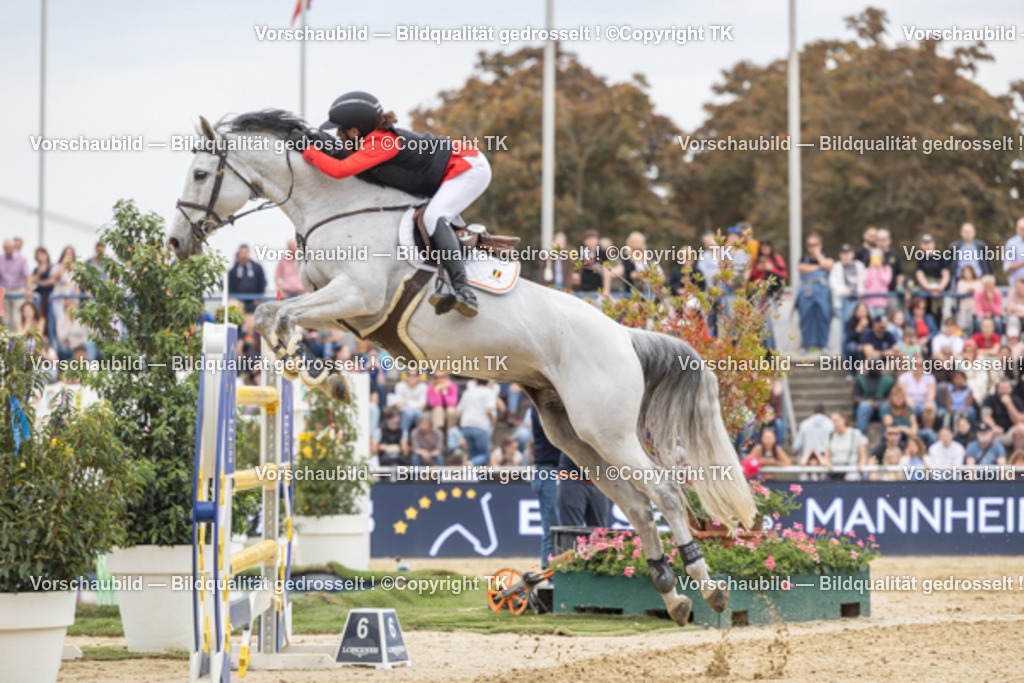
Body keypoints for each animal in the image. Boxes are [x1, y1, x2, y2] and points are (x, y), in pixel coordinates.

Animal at [168, 110, 757, 625]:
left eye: (199, 173)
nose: (175, 242)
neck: (338, 206)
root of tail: (624, 336)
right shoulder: (346, 313)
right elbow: (273, 316)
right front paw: (322, 375)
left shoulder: (358, 296)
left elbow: (277, 316)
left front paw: (317, 374)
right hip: (574, 434)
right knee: (635, 505)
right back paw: (671, 594)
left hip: (607, 430)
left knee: (665, 494)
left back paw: (707, 587)